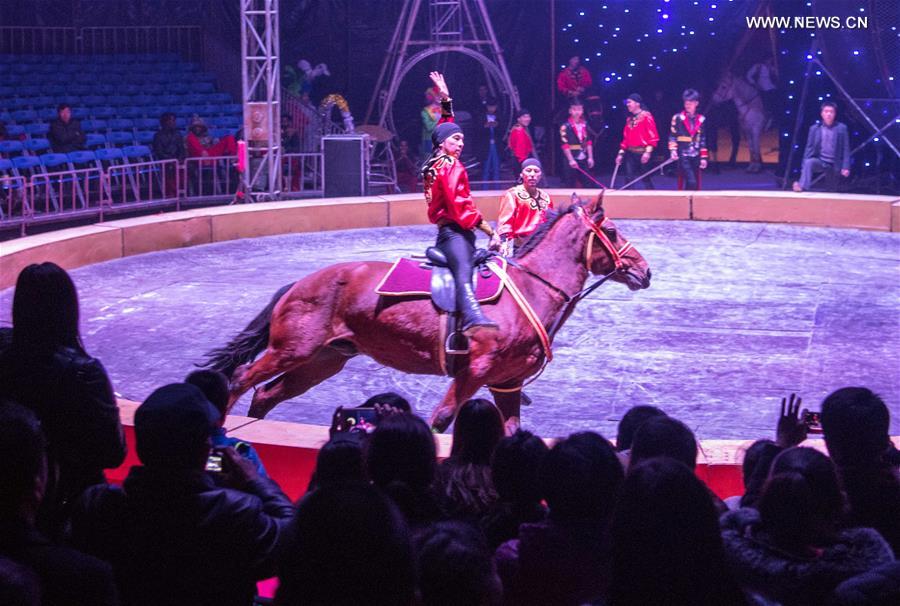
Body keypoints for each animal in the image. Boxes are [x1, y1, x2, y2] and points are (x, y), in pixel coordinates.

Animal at [202, 195, 652, 432]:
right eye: (612, 232)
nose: (644, 270)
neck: (530, 288)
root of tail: (298, 284)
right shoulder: (474, 372)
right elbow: (442, 419)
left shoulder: (506, 384)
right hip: (293, 350)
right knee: (241, 378)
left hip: (322, 360)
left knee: (265, 394)